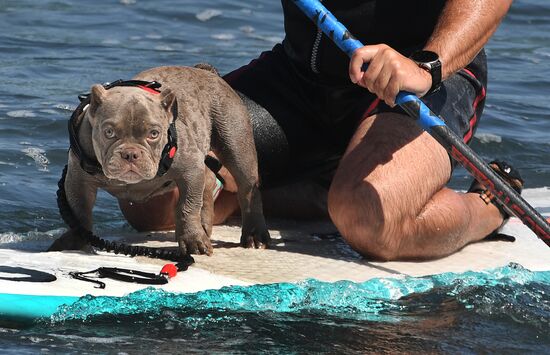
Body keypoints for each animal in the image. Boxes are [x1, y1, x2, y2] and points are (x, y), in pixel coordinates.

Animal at [49, 64, 272, 256]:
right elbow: (79, 213)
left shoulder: (189, 170)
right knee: (208, 183)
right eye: (109, 132)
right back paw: (204, 225)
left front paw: (192, 241)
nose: (131, 154)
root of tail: (207, 72)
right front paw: (75, 241)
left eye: (154, 134)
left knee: (247, 189)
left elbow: (187, 206)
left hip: (235, 142)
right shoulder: (78, 180)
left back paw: (254, 235)